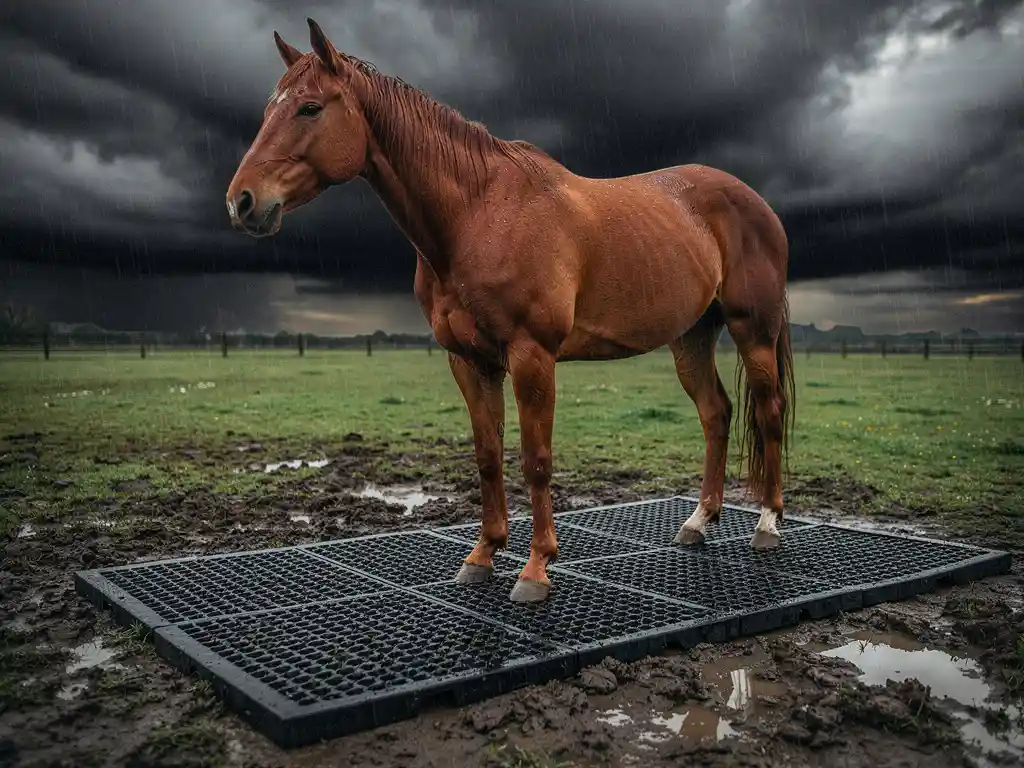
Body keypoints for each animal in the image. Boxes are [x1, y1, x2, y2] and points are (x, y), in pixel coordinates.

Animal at [227, 19, 796, 604]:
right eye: (271, 108)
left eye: (309, 108)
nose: (241, 201)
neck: (479, 214)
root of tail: (756, 203)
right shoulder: (470, 361)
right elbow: (487, 457)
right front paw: (483, 555)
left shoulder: (531, 356)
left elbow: (536, 460)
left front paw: (536, 568)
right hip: (692, 336)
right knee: (716, 413)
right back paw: (699, 521)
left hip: (753, 331)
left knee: (769, 412)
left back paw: (767, 524)